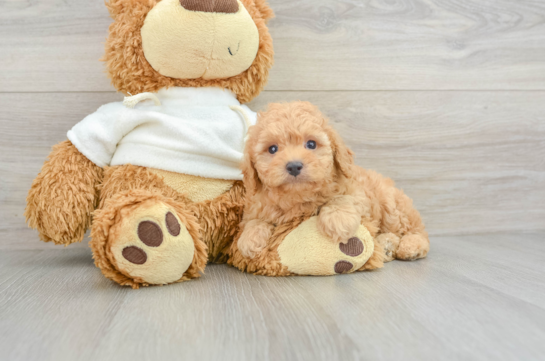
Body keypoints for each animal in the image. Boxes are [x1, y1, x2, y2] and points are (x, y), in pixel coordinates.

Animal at [238, 101, 430, 262]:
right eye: (272, 149)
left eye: (311, 144)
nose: (293, 166)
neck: (299, 198)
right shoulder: (256, 205)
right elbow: (254, 220)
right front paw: (249, 238)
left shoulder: (357, 192)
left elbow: (342, 198)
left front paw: (338, 219)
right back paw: (387, 245)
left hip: (392, 207)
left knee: (417, 232)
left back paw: (410, 246)